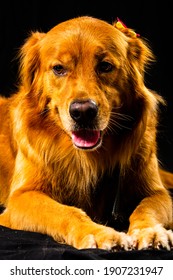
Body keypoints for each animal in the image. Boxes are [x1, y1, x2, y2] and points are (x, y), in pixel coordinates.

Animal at [0, 16, 173, 250]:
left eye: (105, 66)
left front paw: (150, 231)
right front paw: (98, 233)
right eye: (58, 69)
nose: (82, 112)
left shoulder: (157, 193)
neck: (87, 157)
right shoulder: (22, 197)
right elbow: (64, 212)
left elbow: (146, 208)